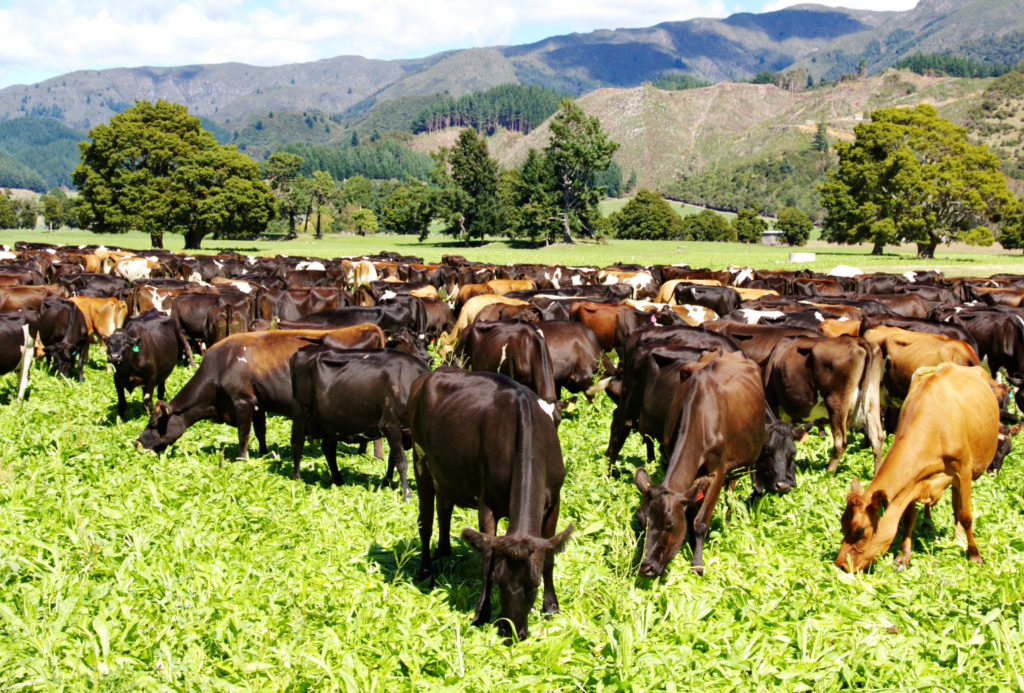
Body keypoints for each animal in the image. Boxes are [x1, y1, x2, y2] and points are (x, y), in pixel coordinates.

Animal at [138, 325, 385, 458]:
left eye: (153, 424)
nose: (136, 443)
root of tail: (366, 327)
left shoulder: (242, 401)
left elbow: (244, 434)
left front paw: (243, 459)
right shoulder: (258, 403)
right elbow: (260, 431)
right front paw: (264, 453)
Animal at [290, 345, 430, 497]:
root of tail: (304, 349)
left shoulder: (404, 432)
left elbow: (392, 460)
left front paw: (386, 483)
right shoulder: (390, 424)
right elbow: (401, 461)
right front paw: (406, 494)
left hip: (331, 421)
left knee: (328, 448)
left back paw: (338, 481)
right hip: (301, 412)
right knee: (297, 445)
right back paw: (297, 479)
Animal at [407, 370, 573, 638]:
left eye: (534, 583)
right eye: (499, 579)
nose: (510, 631)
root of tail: (430, 374)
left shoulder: (555, 500)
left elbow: (549, 558)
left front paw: (551, 606)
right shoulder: (487, 503)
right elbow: (487, 557)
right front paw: (481, 613)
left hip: (445, 473)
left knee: (444, 508)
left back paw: (444, 552)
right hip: (419, 457)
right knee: (426, 521)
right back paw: (426, 571)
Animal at [630, 348, 774, 577]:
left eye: (669, 523)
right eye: (640, 519)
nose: (646, 567)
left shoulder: (718, 472)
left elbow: (701, 521)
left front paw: (697, 562)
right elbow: (690, 512)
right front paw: (689, 544)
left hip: (742, 463)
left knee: (731, 491)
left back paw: (728, 518)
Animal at [831, 364, 999, 569]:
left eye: (860, 530)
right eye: (842, 524)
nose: (840, 564)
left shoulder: (964, 472)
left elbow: (966, 515)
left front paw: (974, 554)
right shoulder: (912, 482)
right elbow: (909, 517)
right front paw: (903, 556)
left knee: (958, 504)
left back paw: (958, 536)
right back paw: (928, 523)